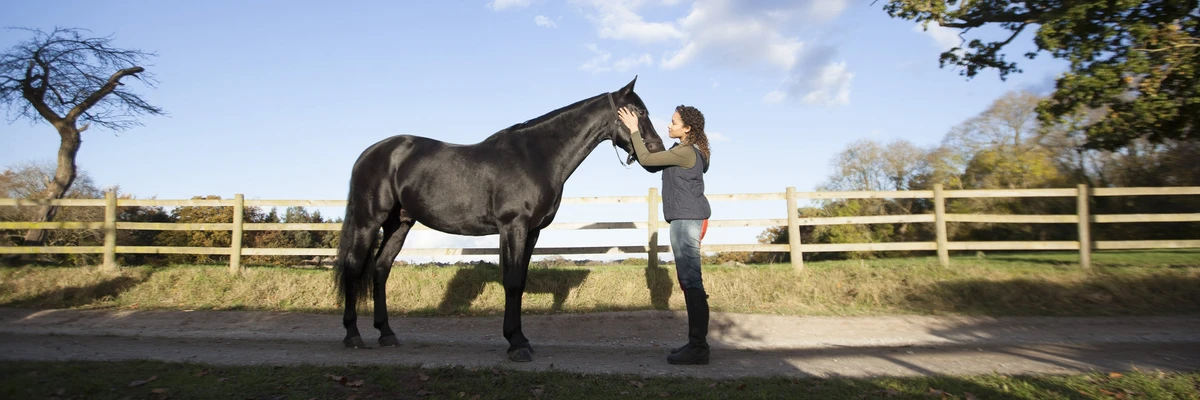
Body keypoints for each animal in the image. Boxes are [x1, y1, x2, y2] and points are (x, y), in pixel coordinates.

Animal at [333, 76, 662, 360]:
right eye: (639, 112)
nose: (656, 151)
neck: (536, 156)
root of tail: (370, 153)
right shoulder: (513, 226)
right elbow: (512, 281)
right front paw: (516, 345)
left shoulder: (532, 232)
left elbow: (522, 281)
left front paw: (522, 338)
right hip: (368, 220)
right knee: (353, 268)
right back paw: (352, 336)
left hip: (399, 223)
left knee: (380, 269)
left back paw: (387, 334)